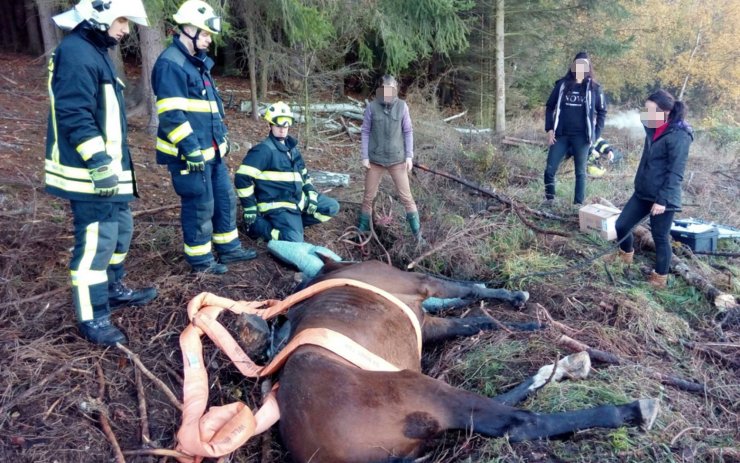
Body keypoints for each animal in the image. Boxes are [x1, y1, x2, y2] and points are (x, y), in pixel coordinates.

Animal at [262, 260, 660, 463]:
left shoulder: (427, 323)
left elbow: (477, 320)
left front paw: (527, 321)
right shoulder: (420, 282)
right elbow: (470, 289)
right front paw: (513, 297)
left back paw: (556, 368)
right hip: (419, 388)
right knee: (521, 423)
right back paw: (632, 409)